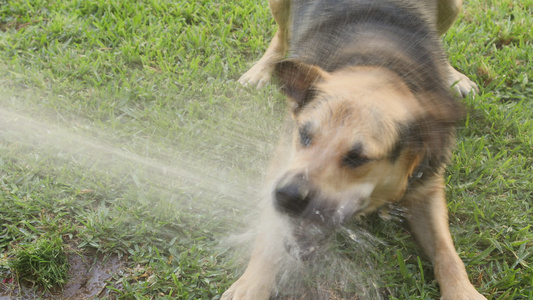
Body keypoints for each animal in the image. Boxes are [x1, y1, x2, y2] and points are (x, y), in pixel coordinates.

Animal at [220, 0, 482, 298]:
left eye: (357, 158)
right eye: (304, 135)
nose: (287, 195)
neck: (378, 67)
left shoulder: (426, 187)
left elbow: (447, 254)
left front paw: (463, 291)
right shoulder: (283, 165)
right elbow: (268, 237)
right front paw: (252, 283)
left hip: (453, 6)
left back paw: (453, 76)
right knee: (281, 36)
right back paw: (262, 69)